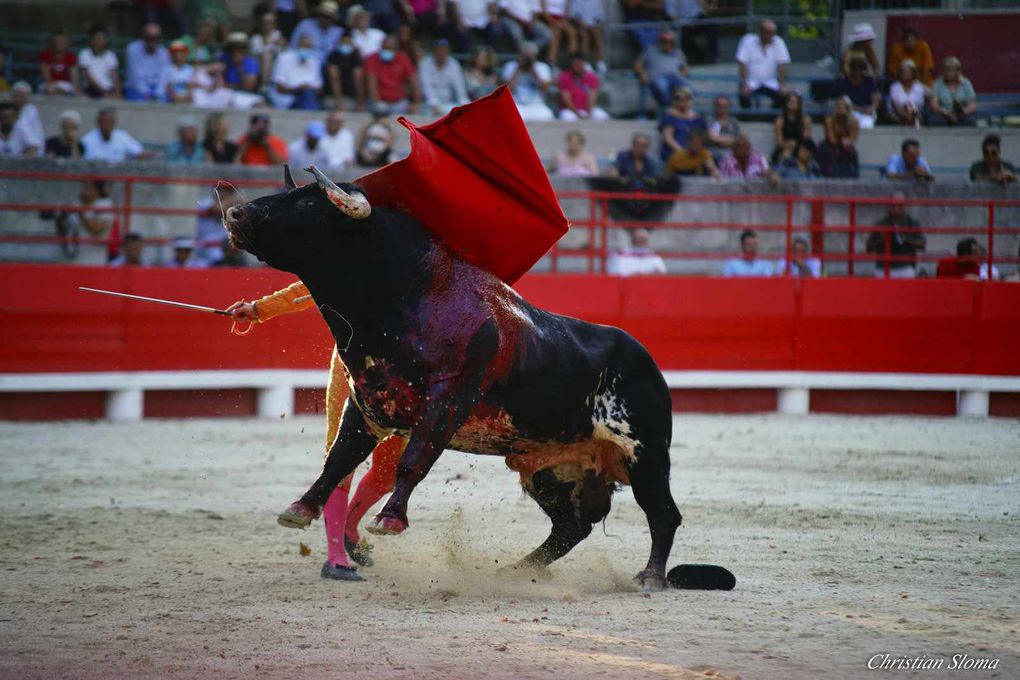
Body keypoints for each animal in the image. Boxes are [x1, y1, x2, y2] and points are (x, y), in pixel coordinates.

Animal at [225, 166, 685, 591]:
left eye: (307, 203)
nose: (234, 212)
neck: (406, 296)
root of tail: (647, 362)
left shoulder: (445, 401)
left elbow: (413, 460)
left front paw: (389, 519)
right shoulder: (367, 403)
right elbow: (338, 460)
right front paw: (300, 508)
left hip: (644, 452)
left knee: (662, 513)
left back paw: (649, 577)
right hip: (549, 466)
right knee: (572, 526)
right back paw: (517, 570)